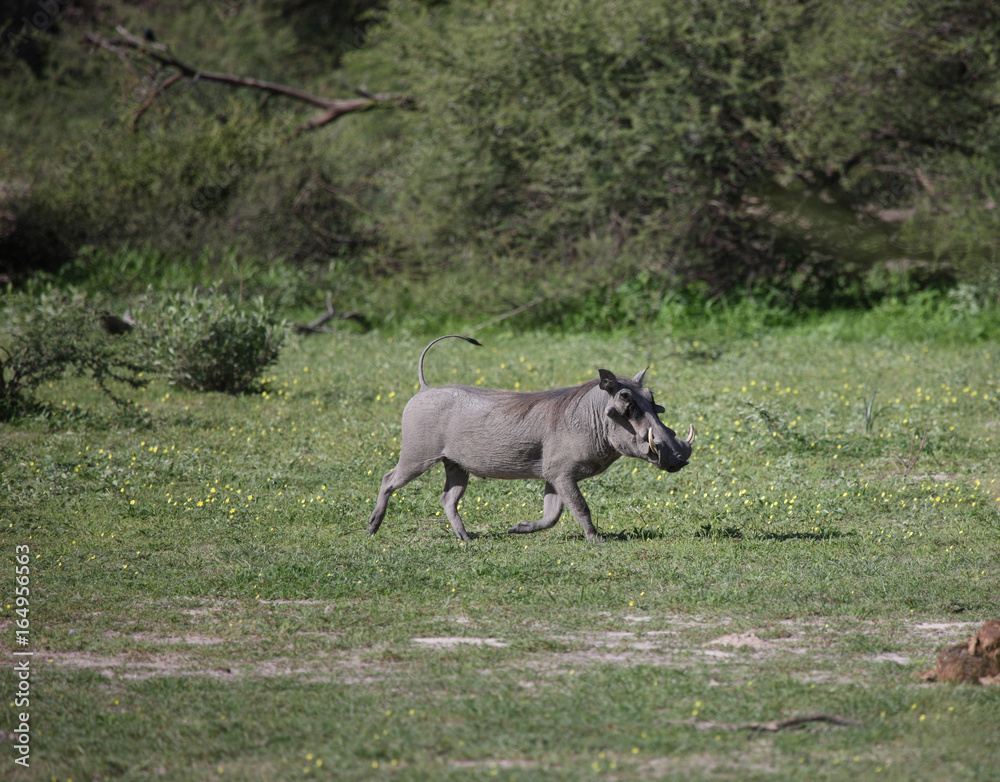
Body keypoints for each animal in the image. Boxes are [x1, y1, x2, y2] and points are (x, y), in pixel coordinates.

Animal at [368, 335, 694, 541]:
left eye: (652, 398)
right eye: (625, 401)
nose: (678, 458)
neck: (589, 418)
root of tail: (425, 388)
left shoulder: (554, 476)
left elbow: (553, 514)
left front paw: (516, 529)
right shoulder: (562, 474)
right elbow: (580, 507)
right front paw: (596, 540)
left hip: (456, 465)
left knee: (448, 498)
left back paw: (466, 538)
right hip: (417, 457)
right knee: (388, 479)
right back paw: (372, 527)